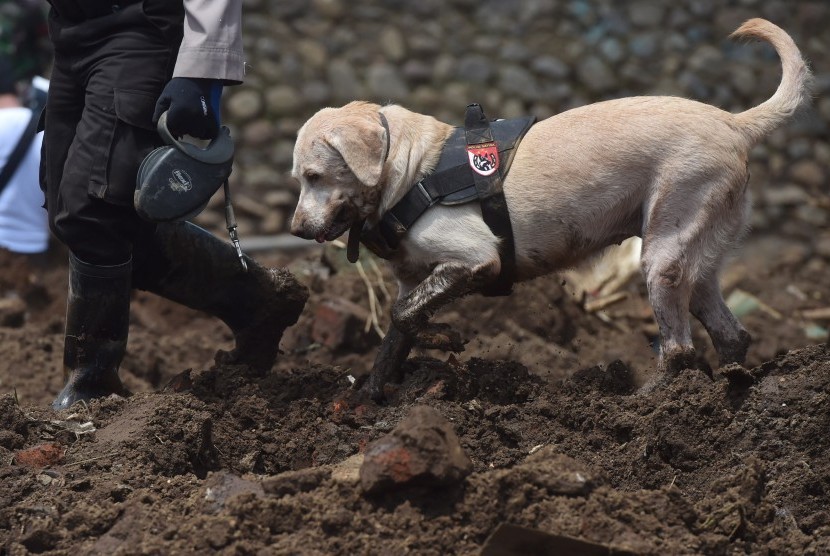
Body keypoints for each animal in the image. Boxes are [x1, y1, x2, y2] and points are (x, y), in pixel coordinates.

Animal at [290, 17, 808, 400]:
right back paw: (729, 390)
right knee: (730, 335)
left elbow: (405, 317)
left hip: (663, 254)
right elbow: (397, 332)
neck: (413, 167)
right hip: (697, 261)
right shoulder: (412, 281)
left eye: (315, 176)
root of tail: (734, 122)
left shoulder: (476, 259)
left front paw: (447, 340)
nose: (295, 229)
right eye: (297, 180)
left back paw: (642, 404)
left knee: (679, 348)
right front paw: (371, 396)